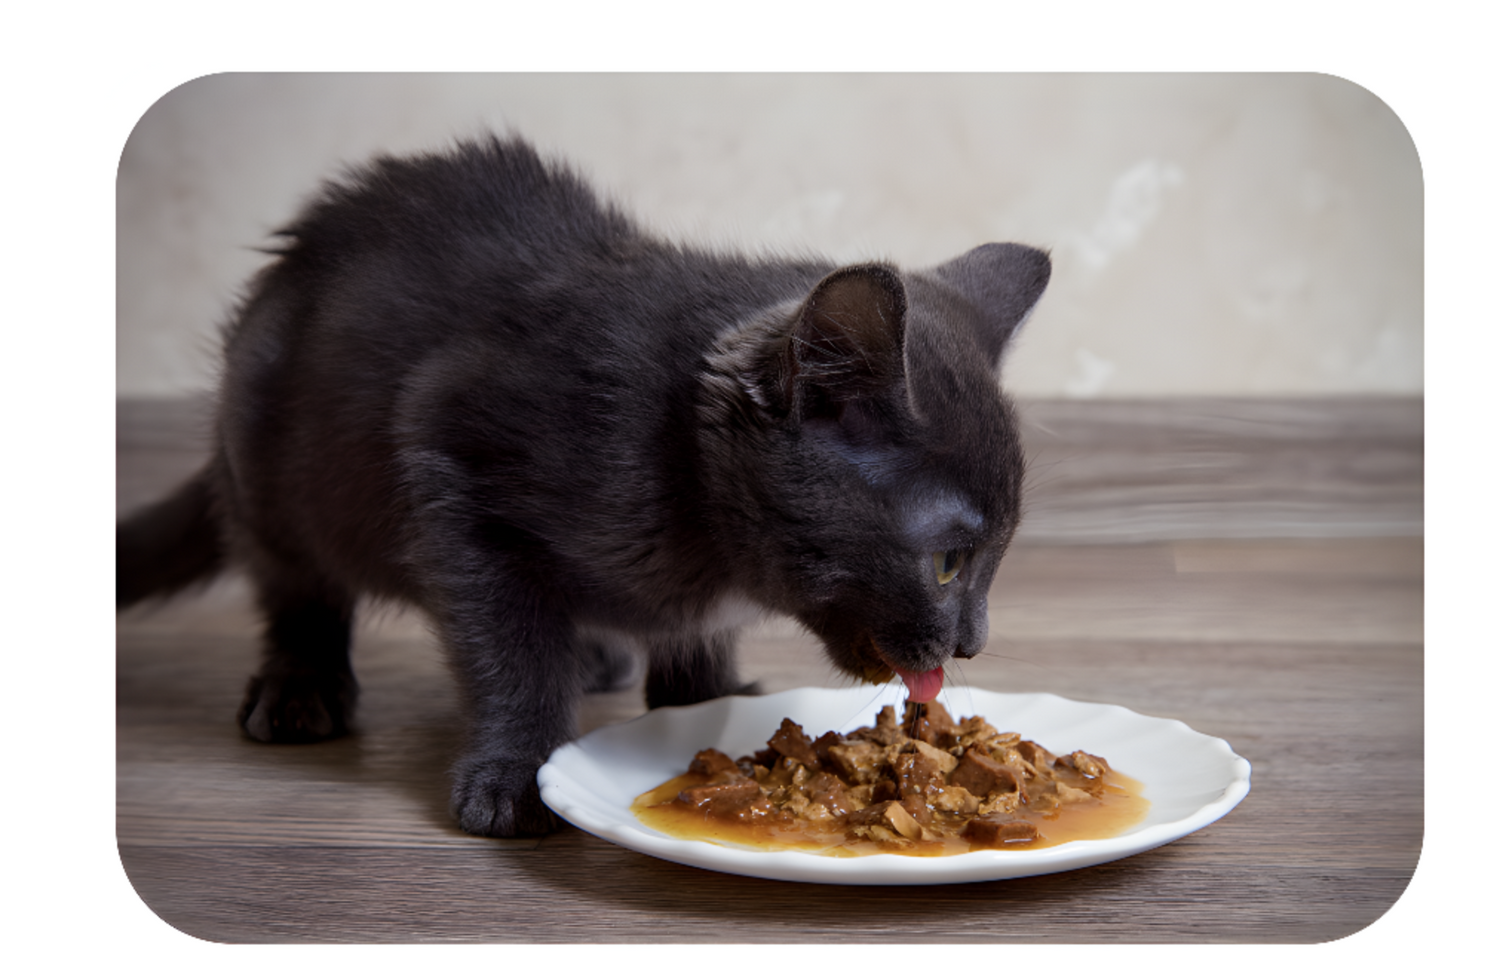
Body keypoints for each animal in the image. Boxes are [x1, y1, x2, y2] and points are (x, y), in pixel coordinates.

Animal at [117, 133, 1050, 834]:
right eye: (948, 563)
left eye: (999, 555)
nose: (972, 642)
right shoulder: (452, 456)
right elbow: (509, 648)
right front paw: (515, 776)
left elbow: (691, 641)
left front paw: (704, 699)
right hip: (266, 462)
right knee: (295, 587)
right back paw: (299, 689)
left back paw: (597, 651)